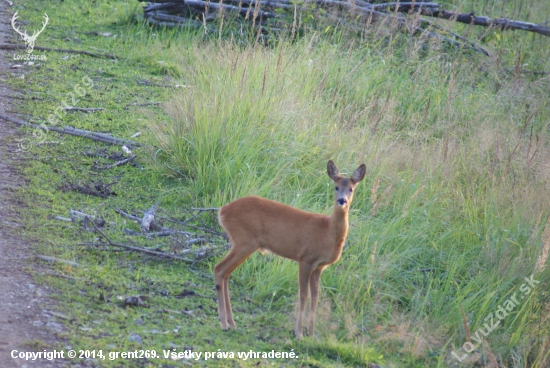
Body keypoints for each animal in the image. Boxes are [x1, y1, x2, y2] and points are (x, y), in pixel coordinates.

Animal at [216, 160, 366, 338]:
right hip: (244, 241)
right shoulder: (305, 259)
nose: (342, 201)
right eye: (336, 186)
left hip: (243, 244)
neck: (327, 232)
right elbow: (303, 295)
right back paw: (224, 324)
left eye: (351, 188)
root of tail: (223, 210)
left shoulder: (319, 267)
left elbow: (315, 297)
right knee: (219, 269)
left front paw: (311, 333)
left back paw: (231, 323)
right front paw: (299, 333)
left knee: (226, 273)